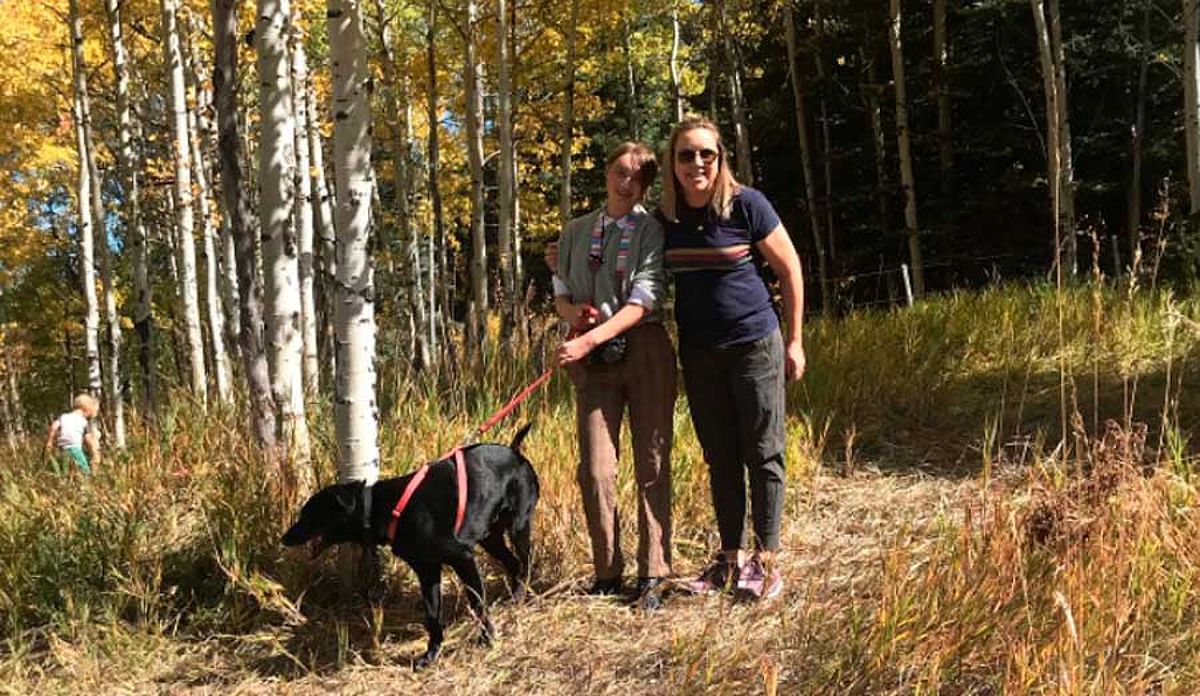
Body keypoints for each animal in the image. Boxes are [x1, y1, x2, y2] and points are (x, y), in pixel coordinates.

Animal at [280, 424, 540, 667]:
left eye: (309, 515)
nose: (283, 538)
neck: (383, 507)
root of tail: (515, 452)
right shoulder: (427, 570)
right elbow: (432, 616)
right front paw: (431, 654)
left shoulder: (462, 558)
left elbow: (477, 603)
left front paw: (487, 639)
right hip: (490, 538)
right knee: (514, 564)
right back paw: (515, 597)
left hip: (518, 526)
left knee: (525, 561)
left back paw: (524, 597)